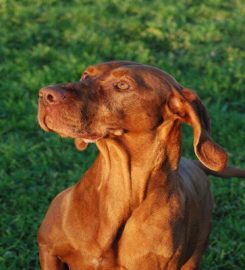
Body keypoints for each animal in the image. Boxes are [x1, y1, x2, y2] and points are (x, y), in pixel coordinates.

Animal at [36, 61, 245, 270]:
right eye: (85, 75)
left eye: (123, 85)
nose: (45, 94)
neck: (121, 190)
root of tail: (194, 163)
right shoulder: (48, 249)